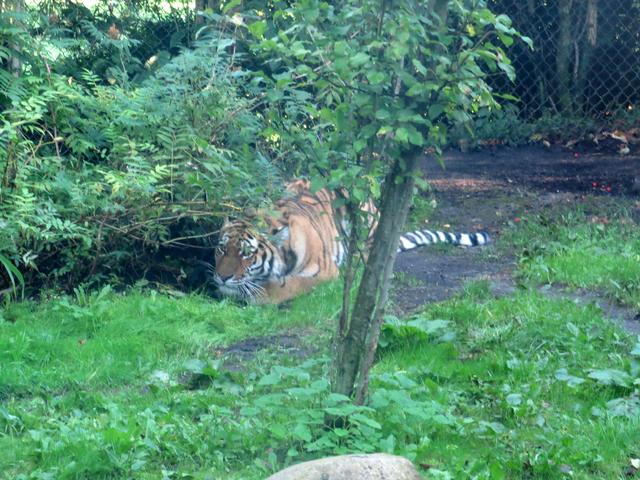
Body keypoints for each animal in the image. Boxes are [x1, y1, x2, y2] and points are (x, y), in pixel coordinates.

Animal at [211, 179, 489, 304]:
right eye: (222, 249)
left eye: (246, 253)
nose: (222, 277)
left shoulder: (323, 273)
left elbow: (290, 285)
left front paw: (261, 295)